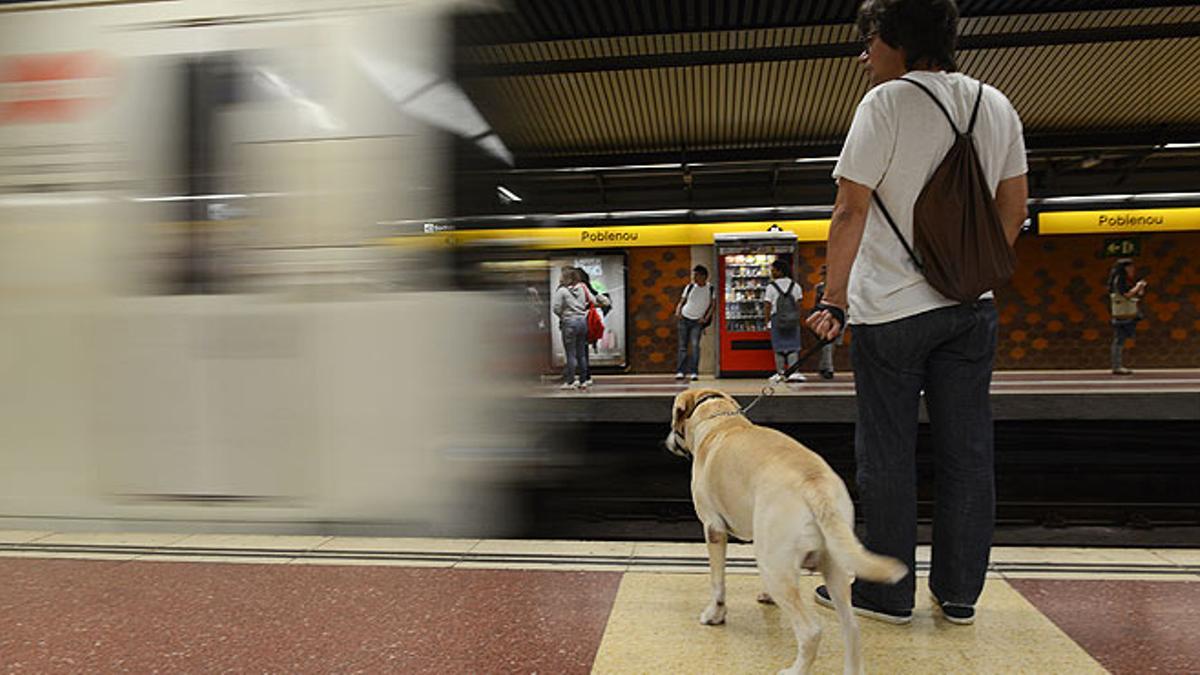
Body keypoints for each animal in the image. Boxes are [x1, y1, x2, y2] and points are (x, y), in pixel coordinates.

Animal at [662, 386, 902, 667]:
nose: (668, 439)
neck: (720, 422)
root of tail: (813, 483)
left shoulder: (713, 528)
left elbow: (717, 582)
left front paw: (715, 614)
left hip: (774, 565)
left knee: (811, 631)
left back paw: (793, 670)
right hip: (833, 562)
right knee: (851, 627)